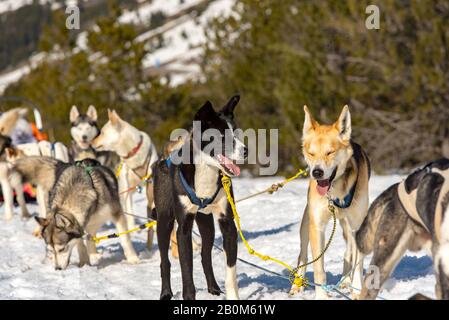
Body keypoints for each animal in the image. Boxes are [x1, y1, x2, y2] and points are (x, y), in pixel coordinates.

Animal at [152, 95, 247, 300]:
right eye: (222, 136)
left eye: (236, 133)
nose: (246, 151)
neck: (206, 171)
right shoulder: (183, 228)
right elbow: (186, 270)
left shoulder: (228, 224)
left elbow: (231, 271)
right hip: (164, 221)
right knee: (165, 261)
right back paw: (166, 293)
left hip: (206, 223)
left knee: (205, 257)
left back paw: (213, 288)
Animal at [290, 105, 372, 300]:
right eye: (311, 153)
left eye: (330, 152)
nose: (317, 172)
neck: (335, 192)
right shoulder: (317, 226)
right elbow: (319, 268)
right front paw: (321, 295)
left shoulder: (358, 226)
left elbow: (358, 264)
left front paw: (357, 289)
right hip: (306, 224)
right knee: (303, 255)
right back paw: (296, 285)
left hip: (349, 228)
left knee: (349, 253)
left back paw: (346, 281)